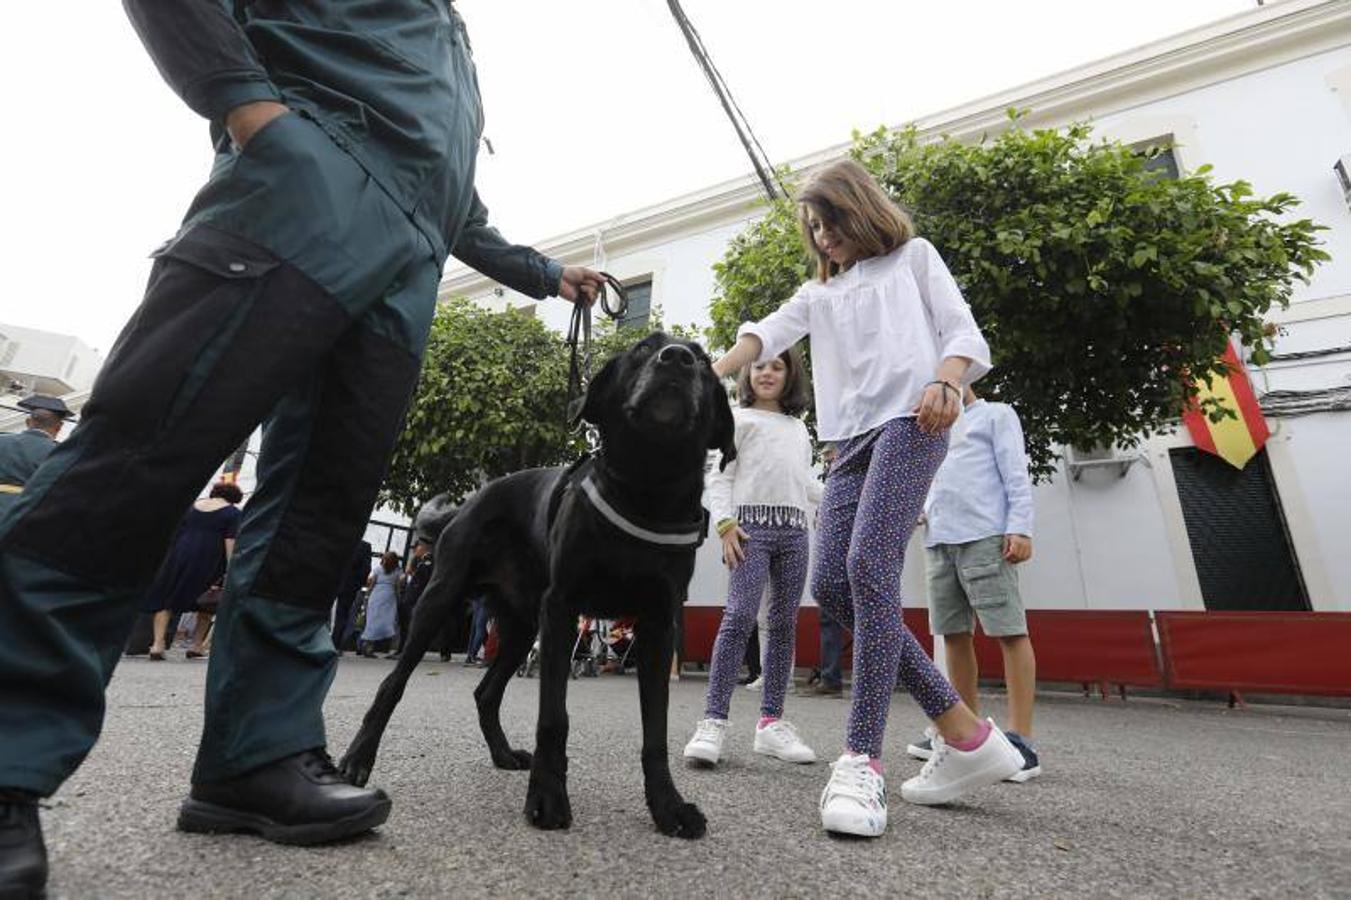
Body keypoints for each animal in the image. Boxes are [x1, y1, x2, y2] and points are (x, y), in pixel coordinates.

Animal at [343, 329, 734, 832]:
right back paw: (357, 759)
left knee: (485, 693)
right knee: (394, 683)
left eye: (703, 361)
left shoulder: (657, 626)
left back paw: (503, 753)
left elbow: (656, 730)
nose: (678, 359)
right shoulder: (562, 609)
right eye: (644, 349)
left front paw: (668, 805)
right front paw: (547, 797)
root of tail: (470, 501)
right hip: (441, 600)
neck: (646, 489)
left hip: (522, 626)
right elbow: (553, 717)